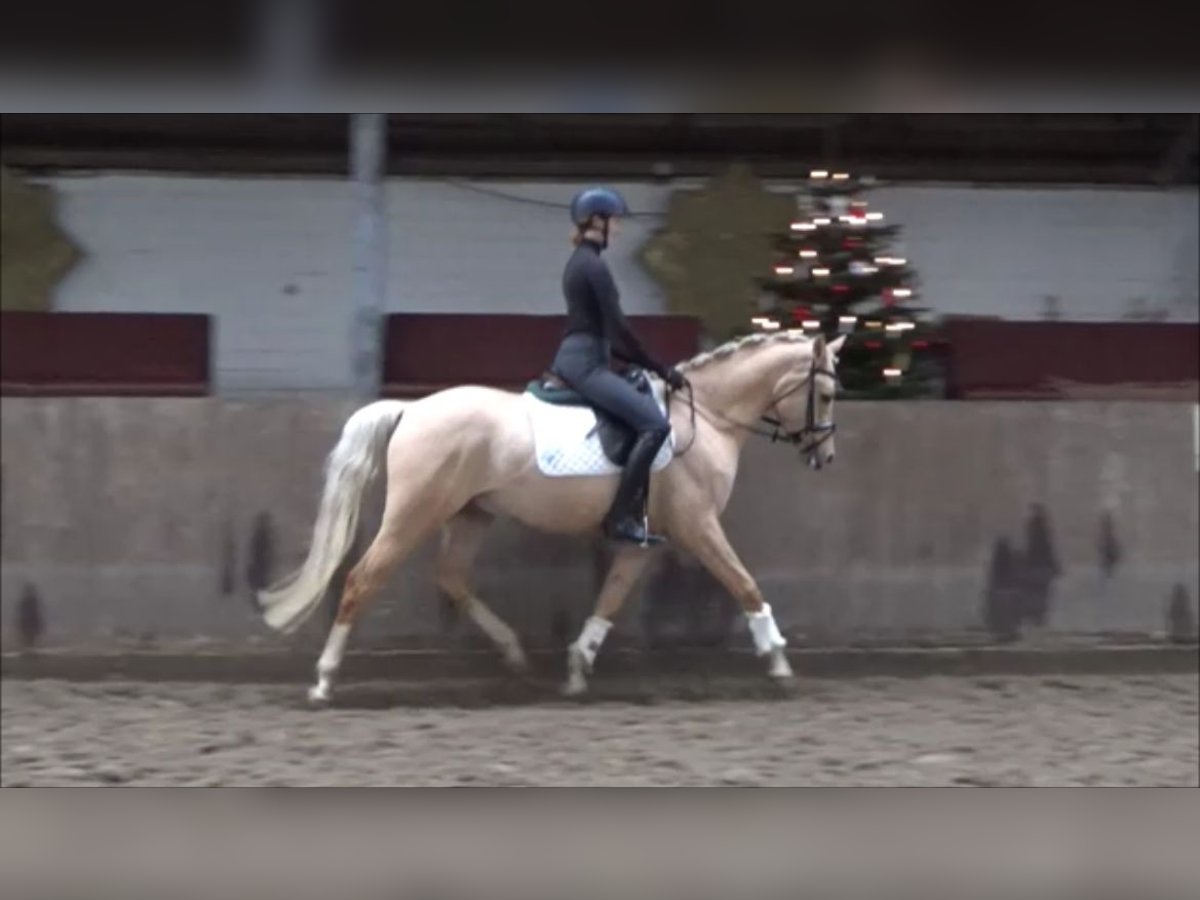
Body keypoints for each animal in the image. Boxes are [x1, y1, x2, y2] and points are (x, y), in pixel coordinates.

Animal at [260, 333, 844, 705]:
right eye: (826, 393)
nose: (825, 457)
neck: (704, 420)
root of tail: (412, 409)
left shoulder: (640, 539)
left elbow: (611, 597)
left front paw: (578, 666)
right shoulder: (698, 526)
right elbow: (744, 585)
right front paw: (780, 664)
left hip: (470, 514)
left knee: (451, 576)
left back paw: (515, 654)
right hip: (415, 512)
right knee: (363, 579)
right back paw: (323, 681)